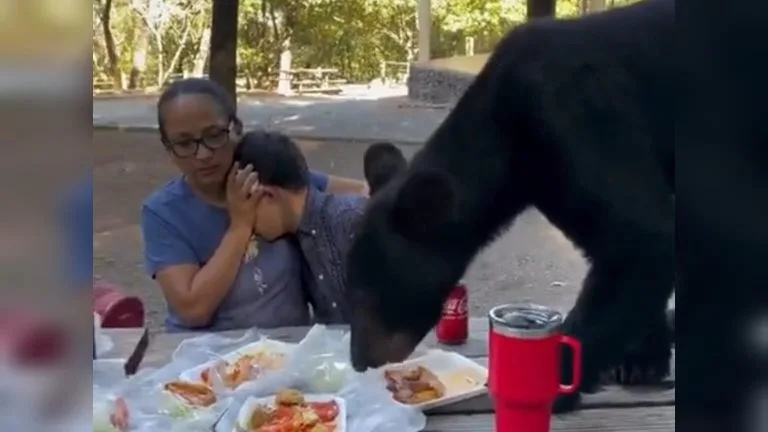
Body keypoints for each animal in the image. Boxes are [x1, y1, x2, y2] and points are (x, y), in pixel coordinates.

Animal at [344, 0, 676, 414]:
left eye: (371, 293)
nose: (360, 360)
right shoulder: (554, 180)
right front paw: (640, 359)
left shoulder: (580, 118)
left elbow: (643, 239)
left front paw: (555, 383)